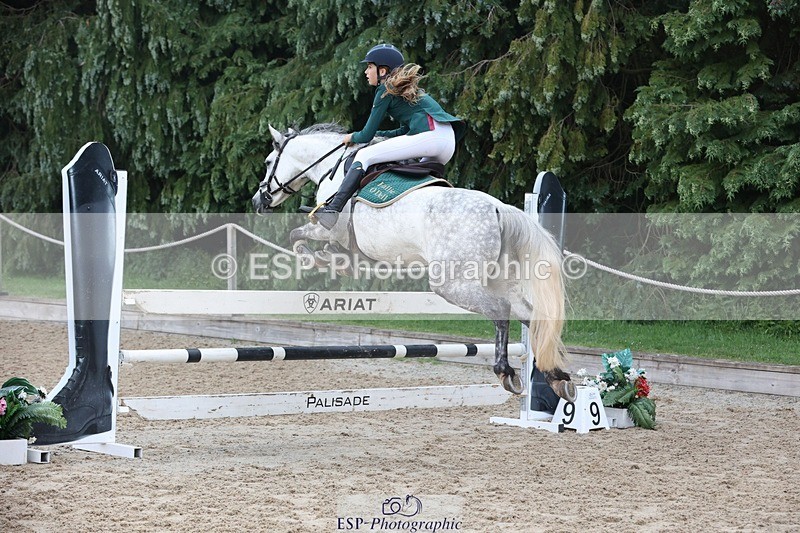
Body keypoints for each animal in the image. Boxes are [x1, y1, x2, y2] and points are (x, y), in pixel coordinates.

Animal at [251, 123, 575, 401]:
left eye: (267, 162)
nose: (257, 201)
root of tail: (498, 208)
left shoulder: (327, 227)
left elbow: (297, 235)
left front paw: (316, 257)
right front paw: (331, 258)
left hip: (451, 283)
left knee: (501, 311)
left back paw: (506, 371)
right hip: (497, 279)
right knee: (531, 315)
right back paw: (558, 377)